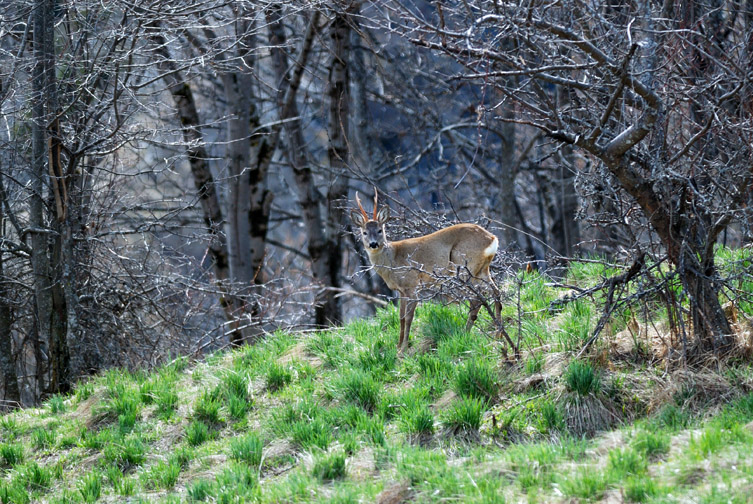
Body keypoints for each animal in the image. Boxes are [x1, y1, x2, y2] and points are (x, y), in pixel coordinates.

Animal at [352, 189, 500, 350]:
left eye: (380, 230)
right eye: (364, 232)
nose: (373, 244)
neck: (392, 259)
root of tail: (492, 238)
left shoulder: (412, 285)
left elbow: (409, 317)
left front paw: (404, 348)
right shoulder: (401, 290)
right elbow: (401, 317)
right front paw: (398, 345)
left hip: (465, 265)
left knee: (476, 298)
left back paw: (466, 332)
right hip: (482, 269)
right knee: (495, 291)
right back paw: (498, 330)